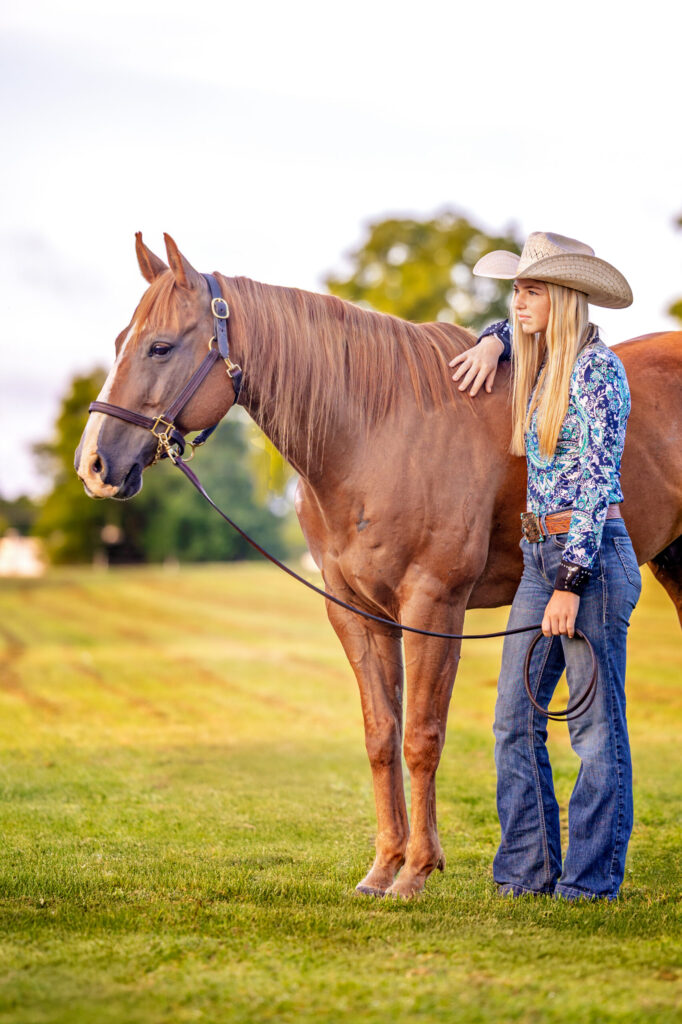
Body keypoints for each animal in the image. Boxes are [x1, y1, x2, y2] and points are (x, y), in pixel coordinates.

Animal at [75, 233, 682, 898]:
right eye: (120, 342)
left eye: (160, 346)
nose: (94, 464)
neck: (377, 432)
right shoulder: (358, 612)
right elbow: (381, 735)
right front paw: (384, 867)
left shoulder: (434, 606)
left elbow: (421, 737)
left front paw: (416, 872)